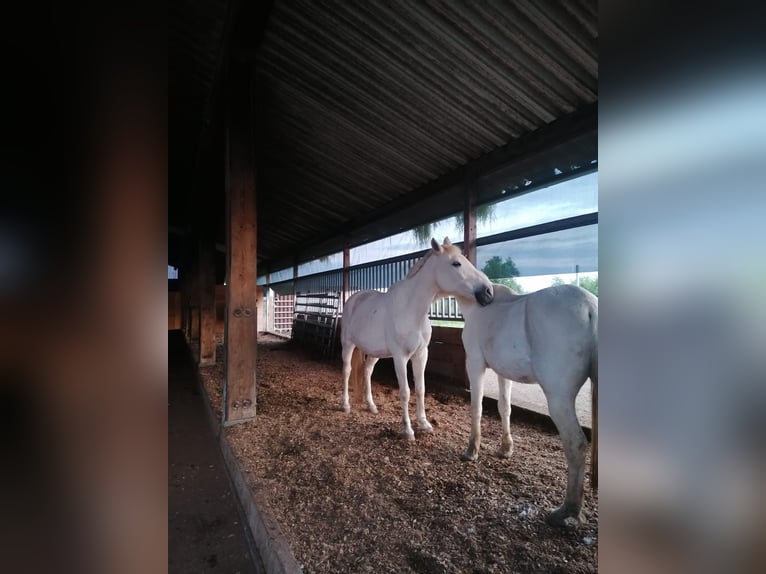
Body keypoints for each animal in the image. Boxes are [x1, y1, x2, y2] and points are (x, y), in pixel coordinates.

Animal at [344, 238, 498, 440]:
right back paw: (345, 405)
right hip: (347, 344)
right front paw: (408, 430)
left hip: (374, 352)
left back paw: (371, 406)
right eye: (456, 263)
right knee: (347, 370)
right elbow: (405, 392)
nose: (488, 292)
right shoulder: (400, 357)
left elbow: (420, 389)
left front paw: (424, 424)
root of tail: (354, 299)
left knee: (367, 371)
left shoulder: (421, 354)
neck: (411, 310)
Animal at [456, 282, 600, 528]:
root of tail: (590, 307)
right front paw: (505, 449)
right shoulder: (503, 372)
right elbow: (504, 408)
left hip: (559, 399)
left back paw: (566, 511)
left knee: (576, 444)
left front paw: (471, 451)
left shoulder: (474, 363)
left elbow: (477, 407)